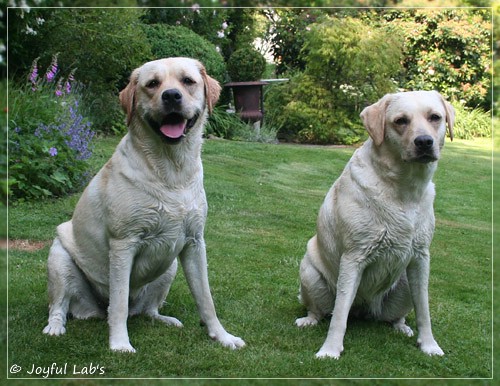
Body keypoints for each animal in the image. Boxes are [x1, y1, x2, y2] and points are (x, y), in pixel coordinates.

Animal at [43, 58, 246, 352]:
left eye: (187, 81)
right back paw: (55, 327)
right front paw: (119, 344)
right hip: (59, 258)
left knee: (148, 310)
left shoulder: (194, 243)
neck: (173, 171)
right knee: (61, 306)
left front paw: (222, 336)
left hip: (170, 265)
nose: (171, 96)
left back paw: (164, 319)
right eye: (152, 84)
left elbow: (206, 299)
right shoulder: (123, 244)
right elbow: (117, 304)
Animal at [294, 89, 456, 358]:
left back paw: (402, 327)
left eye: (435, 117)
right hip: (310, 274)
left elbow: (424, 310)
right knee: (321, 310)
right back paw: (308, 320)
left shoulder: (421, 258)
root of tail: (363, 309)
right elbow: (339, 314)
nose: (424, 142)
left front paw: (429, 344)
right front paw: (330, 350)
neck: (404, 189)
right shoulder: (354, 257)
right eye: (400, 121)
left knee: (395, 316)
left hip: (404, 283)